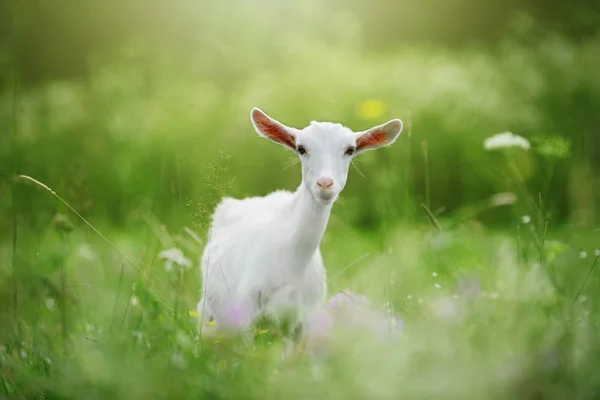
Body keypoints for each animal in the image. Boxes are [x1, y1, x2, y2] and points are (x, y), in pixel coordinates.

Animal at [197, 108, 404, 342]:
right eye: (301, 148)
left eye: (350, 150)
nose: (325, 184)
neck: (293, 262)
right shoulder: (245, 313)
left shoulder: (305, 322)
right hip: (208, 310)